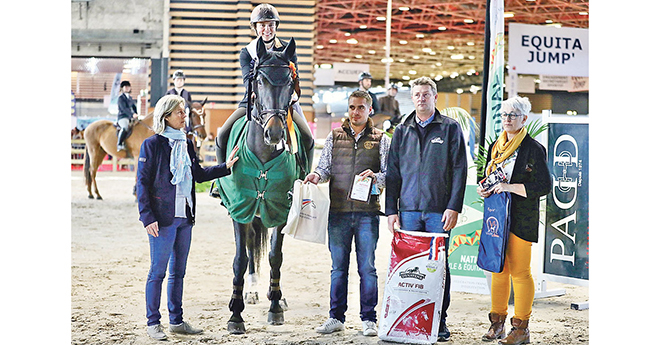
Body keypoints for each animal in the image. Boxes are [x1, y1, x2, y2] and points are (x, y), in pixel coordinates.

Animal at [213, 37, 314, 334]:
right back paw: (253, 292)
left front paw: (275, 308)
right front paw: (235, 314)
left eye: (291, 83)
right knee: (249, 251)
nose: (276, 133)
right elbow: (241, 259)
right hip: (251, 212)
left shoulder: (280, 209)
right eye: (259, 80)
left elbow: (274, 257)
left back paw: (275, 296)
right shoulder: (239, 208)